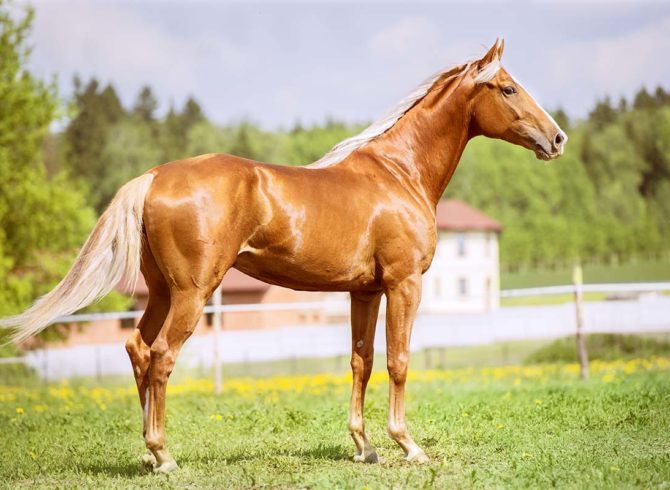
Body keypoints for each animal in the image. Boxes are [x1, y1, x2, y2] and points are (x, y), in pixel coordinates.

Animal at [2, 39, 566, 472]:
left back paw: (146, 454)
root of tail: (155, 176)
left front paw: (364, 448)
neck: (398, 172)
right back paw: (164, 456)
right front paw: (408, 446)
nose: (557, 138)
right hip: (193, 293)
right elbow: (398, 361)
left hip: (161, 291)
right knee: (161, 356)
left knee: (138, 350)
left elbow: (361, 361)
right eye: (508, 88)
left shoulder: (364, 291)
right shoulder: (404, 283)